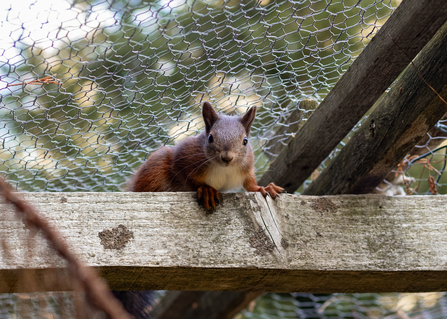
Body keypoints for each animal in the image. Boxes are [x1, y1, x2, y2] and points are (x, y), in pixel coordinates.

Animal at [128, 102, 286, 210]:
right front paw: (206, 189)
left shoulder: (246, 166)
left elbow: (250, 184)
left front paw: (263, 188)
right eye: (210, 138)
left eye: (245, 141)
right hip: (156, 165)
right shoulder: (184, 157)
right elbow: (186, 177)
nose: (227, 158)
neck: (223, 168)